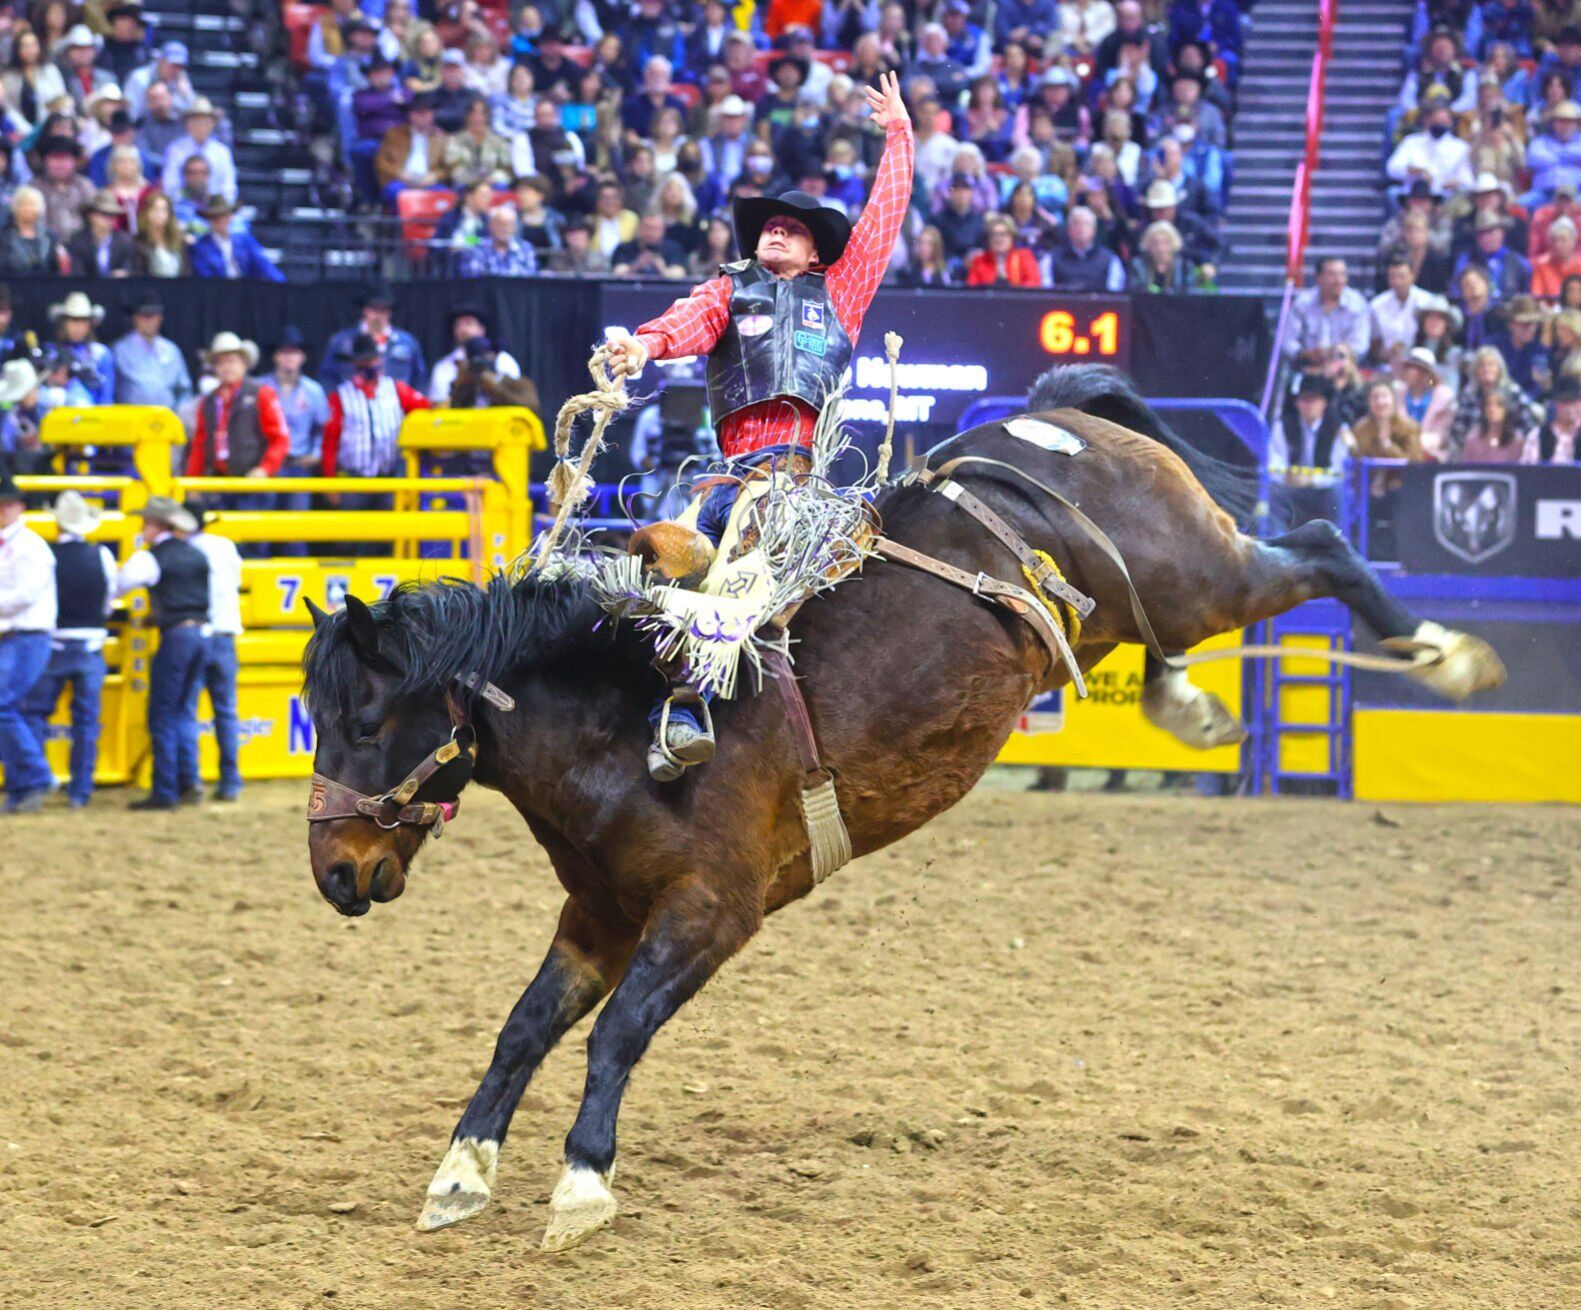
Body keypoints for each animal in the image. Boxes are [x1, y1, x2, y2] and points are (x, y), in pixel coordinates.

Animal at [298, 365, 1505, 1245]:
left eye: (365, 715)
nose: (336, 873)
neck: (624, 719)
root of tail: (1047, 419)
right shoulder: (598, 913)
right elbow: (525, 1028)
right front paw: (461, 1171)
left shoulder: (711, 911)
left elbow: (617, 1033)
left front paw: (582, 1185)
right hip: (1147, 603)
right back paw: (1193, 703)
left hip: (1197, 574)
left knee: (1324, 547)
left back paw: (1443, 653)